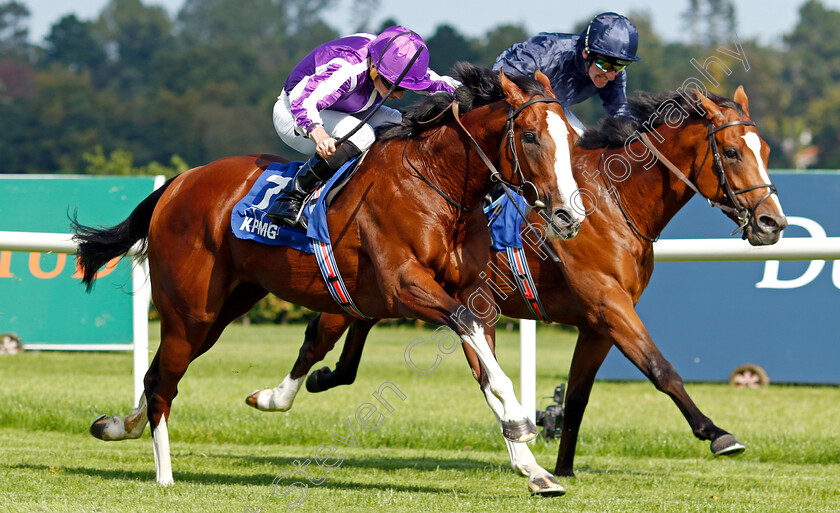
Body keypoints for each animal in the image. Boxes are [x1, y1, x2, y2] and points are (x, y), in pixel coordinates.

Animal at [72, 62, 584, 486]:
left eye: (573, 141)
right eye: (532, 136)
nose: (569, 215)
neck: (436, 183)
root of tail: (178, 182)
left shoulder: (469, 291)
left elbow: (482, 361)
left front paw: (532, 468)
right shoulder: (405, 286)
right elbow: (473, 336)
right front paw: (521, 424)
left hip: (222, 309)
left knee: (156, 375)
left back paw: (116, 426)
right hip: (189, 311)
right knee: (164, 384)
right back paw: (164, 474)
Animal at [270, 86, 788, 490]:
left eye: (764, 151)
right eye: (734, 152)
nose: (773, 223)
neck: (614, 201)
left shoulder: (597, 324)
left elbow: (577, 397)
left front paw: (563, 465)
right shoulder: (610, 304)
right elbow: (662, 370)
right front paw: (717, 433)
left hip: (381, 292)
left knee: (348, 340)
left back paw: (318, 380)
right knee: (319, 337)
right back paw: (284, 391)